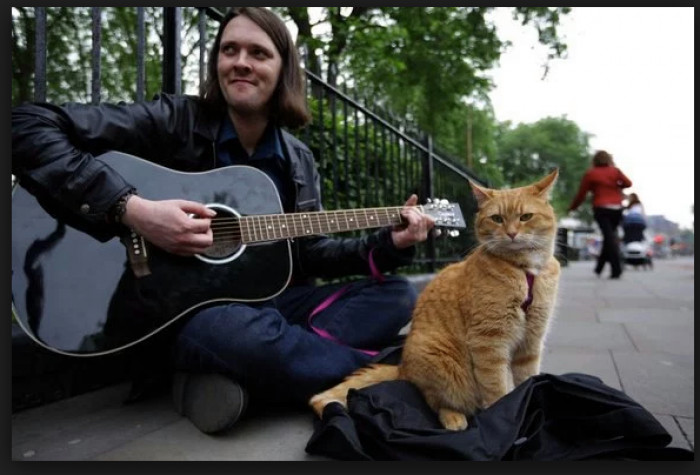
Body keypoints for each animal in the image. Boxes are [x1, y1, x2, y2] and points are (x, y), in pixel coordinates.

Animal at [308, 170, 560, 432]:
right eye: (497, 219)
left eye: (525, 217)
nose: (511, 233)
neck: (525, 270)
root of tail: (403, 368)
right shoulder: (489, 343)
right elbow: (496, 389)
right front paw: (505, 415)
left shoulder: (531, 342)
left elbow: (526, 378)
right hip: (442, 362)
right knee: (437, 401)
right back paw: (454, 419)